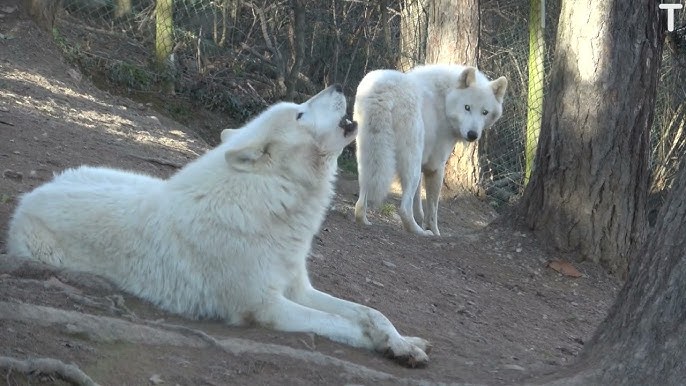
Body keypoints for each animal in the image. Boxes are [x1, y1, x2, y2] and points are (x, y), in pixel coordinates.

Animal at [6, 85, 430, 368]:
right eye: (299, 114)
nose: (337, 87)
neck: (271, 205)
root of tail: (36, 192)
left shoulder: (298, 288)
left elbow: (370, 312)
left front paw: (403, 342)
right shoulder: (266, 307)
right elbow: (343, 323)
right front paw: (382, 346)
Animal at [354, 64, 510, 235]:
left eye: (485, 112)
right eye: (467, 107)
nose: (472, 135)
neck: (445, 99)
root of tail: (385, 89)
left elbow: (419, 204)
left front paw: (422, 220)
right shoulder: (435, 166)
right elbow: (433, 209)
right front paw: (434, 232)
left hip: (367, 156)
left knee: (361, 201)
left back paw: (364, 220)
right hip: (412, 165)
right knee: (404, 209)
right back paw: (420, 232)